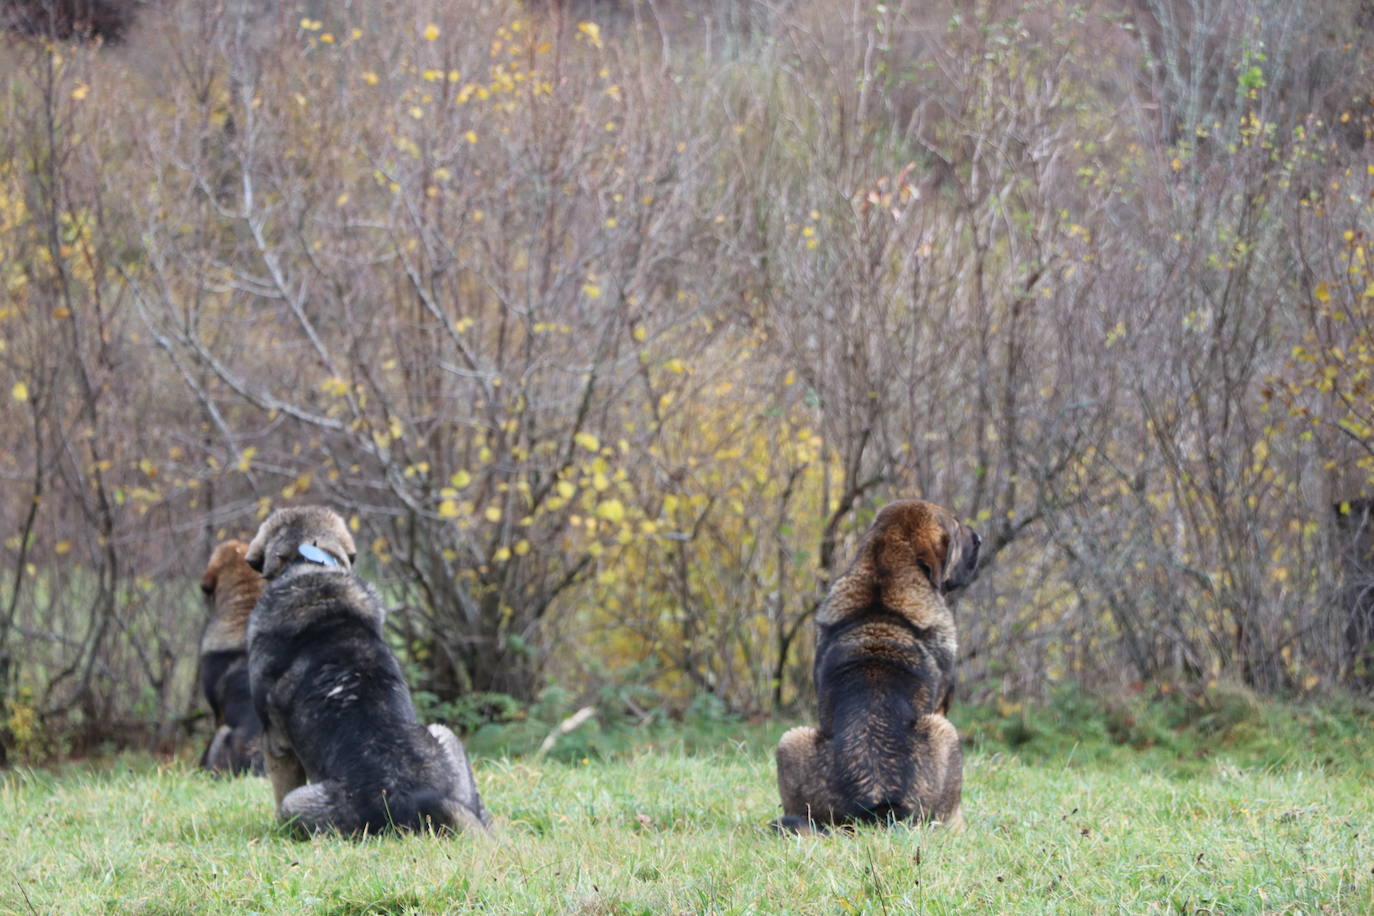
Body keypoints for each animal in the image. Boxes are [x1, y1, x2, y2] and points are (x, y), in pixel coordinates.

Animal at [244, 508, 491, 840]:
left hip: (297, 805)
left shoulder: (275, 741)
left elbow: (279, 783)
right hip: (447, 737)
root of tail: (416, 798)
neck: (307, 565)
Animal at [780, 497, 983, 834]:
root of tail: (877, 803)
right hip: (945, 731)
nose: (980, 538)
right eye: (955, 526)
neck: (882, 583)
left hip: (791, 743)